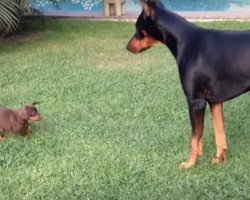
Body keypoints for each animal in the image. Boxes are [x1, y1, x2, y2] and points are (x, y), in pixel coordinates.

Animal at [127, 0, 250, 170]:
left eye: (137, 27)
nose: (127, 47)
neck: (184, 40)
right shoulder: (214, 100)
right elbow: (219, 132)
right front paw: (219, 158)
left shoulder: (195, 101)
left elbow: (195, 138)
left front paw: (190, 163)